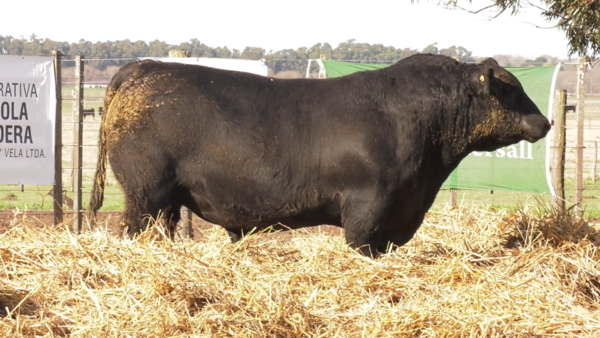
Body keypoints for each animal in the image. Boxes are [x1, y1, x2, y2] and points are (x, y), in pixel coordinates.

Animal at [86, 54, 552, 256]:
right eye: (510, 88)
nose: (545, 122)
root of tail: (143, 66)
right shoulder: (368, 204)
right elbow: (361, 244)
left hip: (166, 199)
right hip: (145, 193)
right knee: (135, 229)